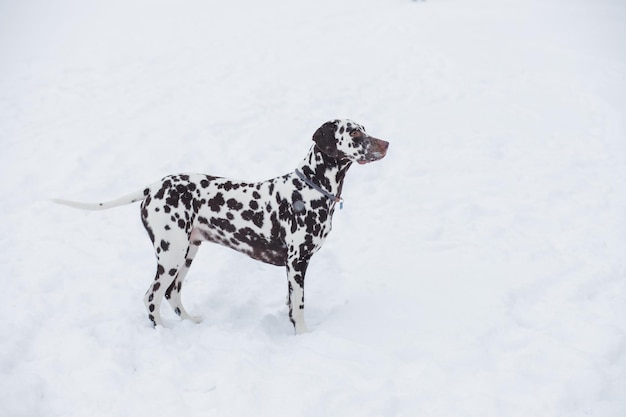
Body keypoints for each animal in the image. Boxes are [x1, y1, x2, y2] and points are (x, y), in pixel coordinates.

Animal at [53, 118, 388, 334]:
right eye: (354, 132)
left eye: (364, 128)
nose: (387, 143)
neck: (309, 189)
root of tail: (152, 187)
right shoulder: (297, 263)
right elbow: (300, 306)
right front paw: (305, 338)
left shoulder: (293, 269)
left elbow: (291, 307)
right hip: (171, 255)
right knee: (152, 296)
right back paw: (163, 333)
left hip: (188, 253)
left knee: (172, 295)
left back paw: (190, 324)